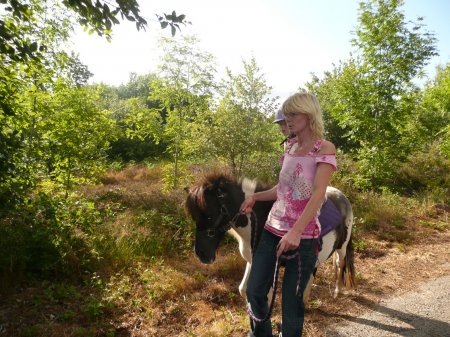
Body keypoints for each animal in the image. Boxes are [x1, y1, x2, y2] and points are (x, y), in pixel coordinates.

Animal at [185, 172, 356, 304]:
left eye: (209, 215)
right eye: (194, 217)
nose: (201, 254)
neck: (260, 221)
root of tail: (343, 197)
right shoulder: (252, 262)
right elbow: (243, 289)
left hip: (342, 247)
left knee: (341, 263)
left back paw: (337, 291)